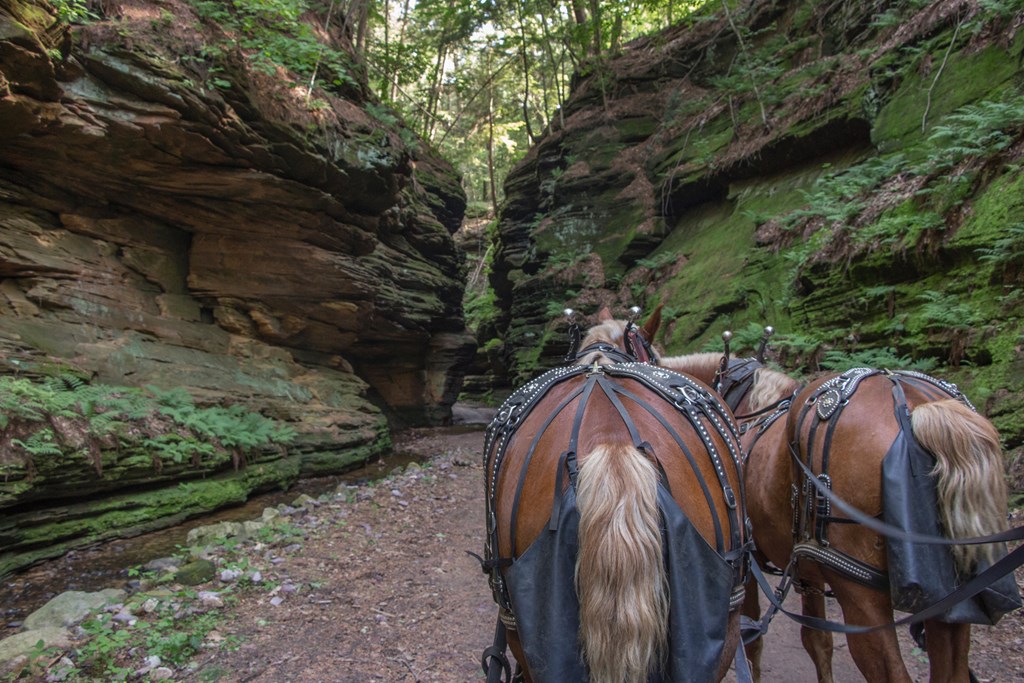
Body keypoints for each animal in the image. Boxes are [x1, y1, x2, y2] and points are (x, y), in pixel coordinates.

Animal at [659, 351, 1020, 683]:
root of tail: (916, 406)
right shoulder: (810, 574)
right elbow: (817, 641)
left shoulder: (750, 571)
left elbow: (752, 644)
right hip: (949, 602)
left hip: (859, 587)